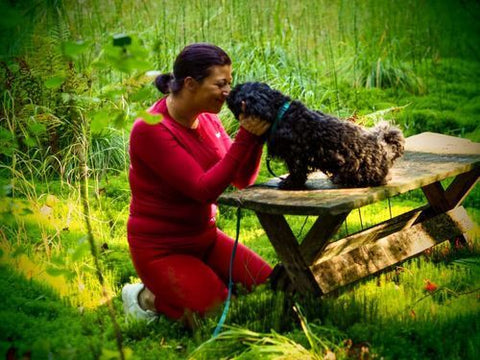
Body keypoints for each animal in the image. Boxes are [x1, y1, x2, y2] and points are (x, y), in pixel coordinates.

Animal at [228, 81, 404, 188]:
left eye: (238, 92)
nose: (229, 92)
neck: (280, 113)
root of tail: (386, 149)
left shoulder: (295, 156)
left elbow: (297, 172)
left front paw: (290, 184)